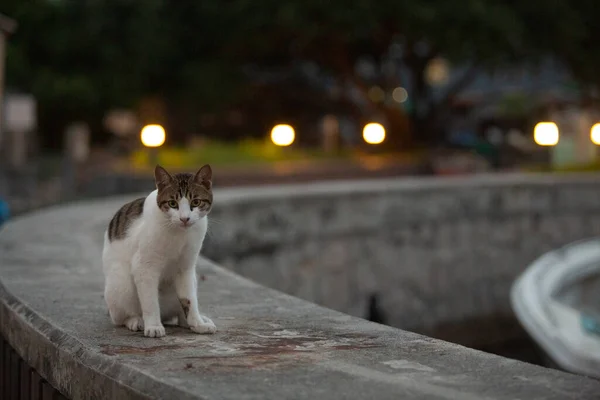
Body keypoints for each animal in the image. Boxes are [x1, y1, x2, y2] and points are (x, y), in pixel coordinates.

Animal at [102, 164, 217, 336]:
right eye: (172, 203)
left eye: (196, 202)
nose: (184, 219)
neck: (178, 233)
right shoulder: (144, 267)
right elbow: (150, 301)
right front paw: (153, 326)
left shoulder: (186, 268)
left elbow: (189, 299)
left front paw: (197, 323)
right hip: (121, 282)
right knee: (119, 318)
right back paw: (136, 321)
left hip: (192, 279)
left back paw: (192, 321)